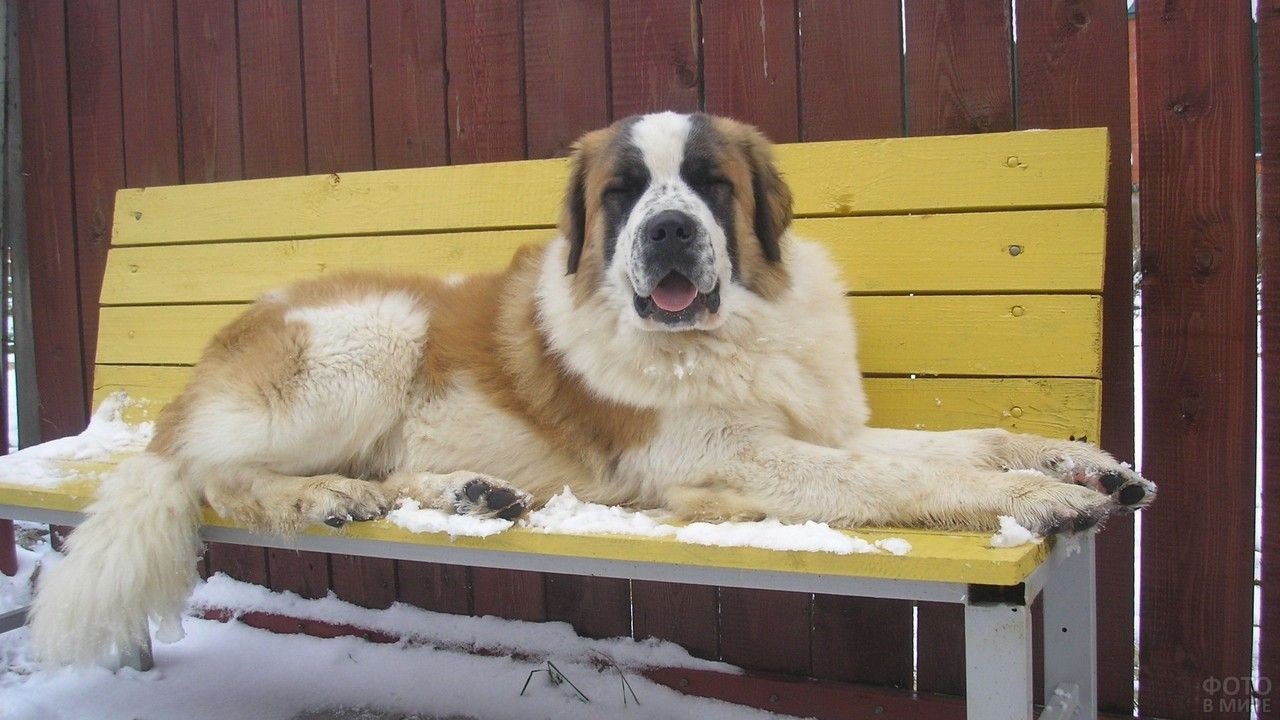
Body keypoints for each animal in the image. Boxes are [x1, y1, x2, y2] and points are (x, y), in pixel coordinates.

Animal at [30, 110, 1157, 661]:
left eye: (707, 183)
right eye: (622, 194)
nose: (667, 231)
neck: (732, 330)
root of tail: (215, 349)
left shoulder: (825, 428)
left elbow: (964, 445)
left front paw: (1083, 463)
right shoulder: (725, 458)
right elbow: (906, 480)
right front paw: (1040, 500)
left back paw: (463, 493)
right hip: (365, 345)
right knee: (218, 478)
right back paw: (322, 496)